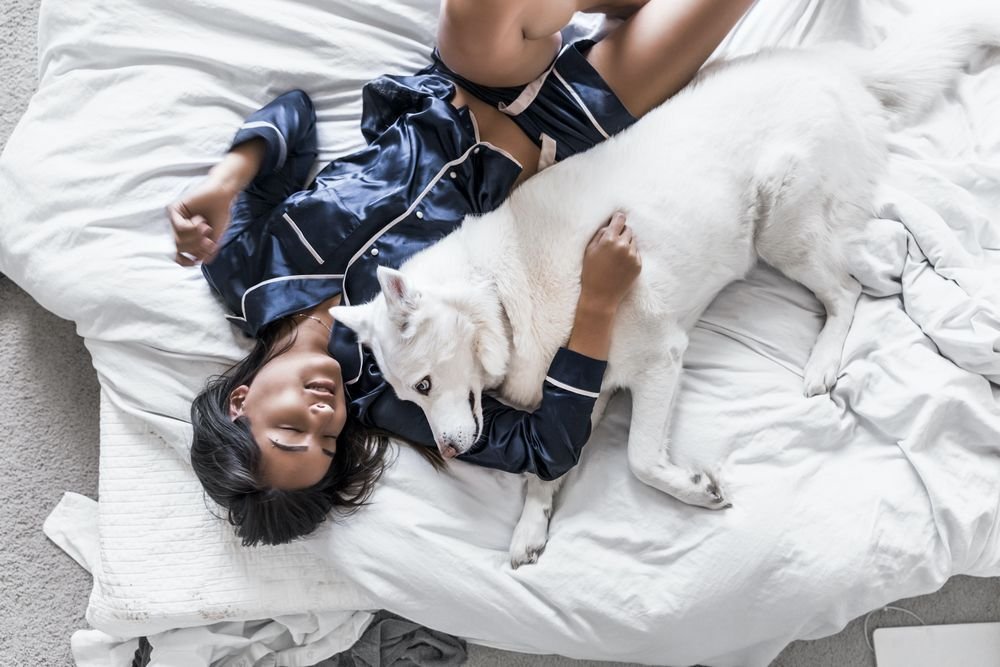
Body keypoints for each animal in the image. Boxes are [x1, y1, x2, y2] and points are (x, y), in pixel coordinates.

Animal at [336, 7, 1000, 568]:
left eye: (424, 385)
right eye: (408, 395)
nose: (449, 451)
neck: (502, 295)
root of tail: (834, 65)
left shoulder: (658, 359)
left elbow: (638, 460)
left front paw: (690, 488)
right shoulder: (587, 393)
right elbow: (544, 471)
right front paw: (530, 525)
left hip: (779, 229)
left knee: (843, 292)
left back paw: (823, 360)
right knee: (868, 254)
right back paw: (889, 270)